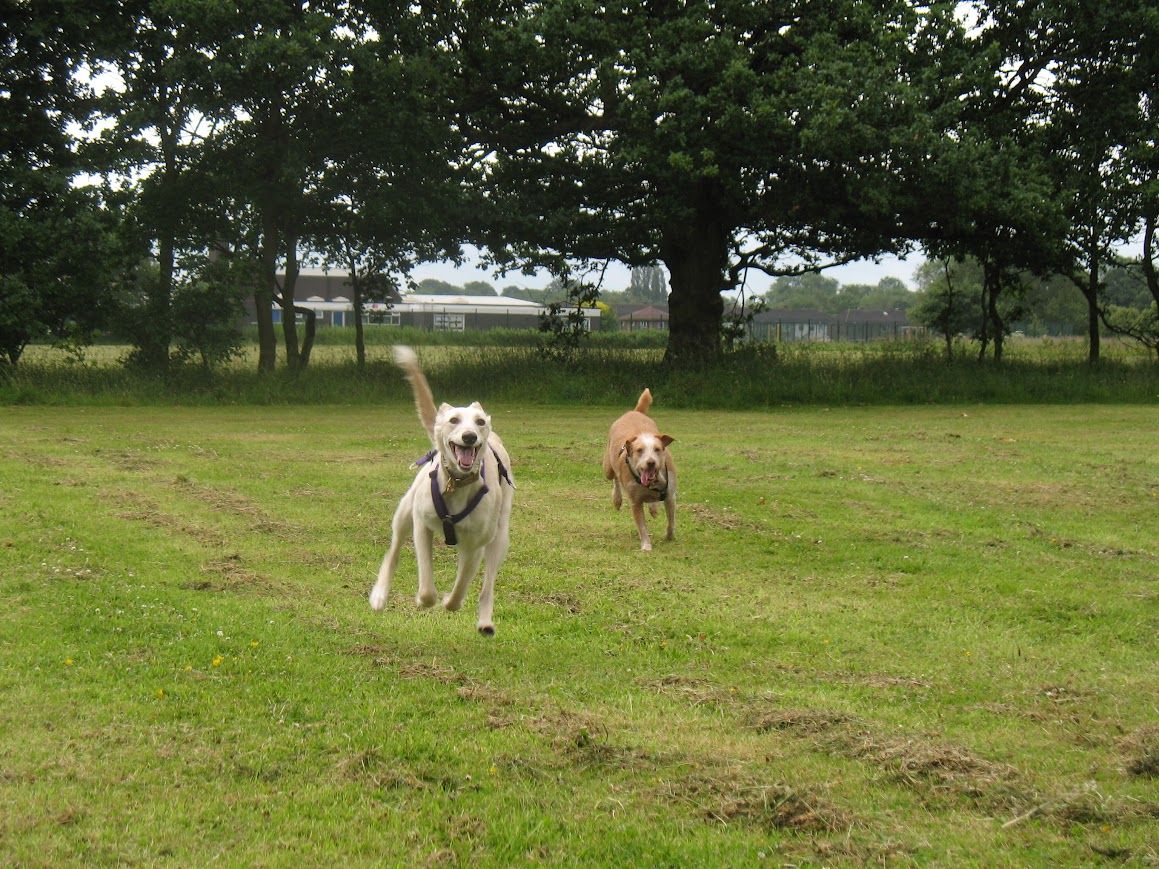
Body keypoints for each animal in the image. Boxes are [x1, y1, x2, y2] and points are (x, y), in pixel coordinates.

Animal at [368, 347, 514, 639]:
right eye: (453, 420)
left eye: (480, 422)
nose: (469, 436)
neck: (455, 483)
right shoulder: (421, 525)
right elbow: (426, 585)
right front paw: (424, 600)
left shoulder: (475, 544)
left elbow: (460, 588)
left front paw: (449, 600)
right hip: (403, 513)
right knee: (393, 552)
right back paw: (379, 595)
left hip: (500, 537)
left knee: (487, 584)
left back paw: (485, 620)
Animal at [602, 389, 676, 551]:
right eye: (639, 450)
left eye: (657, 449)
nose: (651, 463)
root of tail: (634, 412)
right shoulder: (635, 501)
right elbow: (641, 525)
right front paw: (646, 546)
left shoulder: (670, 495)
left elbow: (671, 520)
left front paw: (669, 537)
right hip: (608, 467)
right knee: (614, 478)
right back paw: (617, 499)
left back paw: (653, 508)